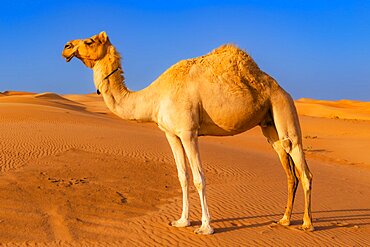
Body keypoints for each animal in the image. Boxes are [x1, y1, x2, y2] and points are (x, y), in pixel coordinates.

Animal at [62, 31, 314, 234]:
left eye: (89, 41)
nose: (66, 46)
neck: (155, 97)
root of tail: (282, 89)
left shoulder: (188, 132)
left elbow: (199, 178)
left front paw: (206, 227)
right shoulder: (171, 133)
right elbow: (182, 177)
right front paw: (182, 221)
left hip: (283, 107)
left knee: (302, 166)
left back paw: (307, 224)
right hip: (269, 124)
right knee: (288, 168)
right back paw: (284, 220)